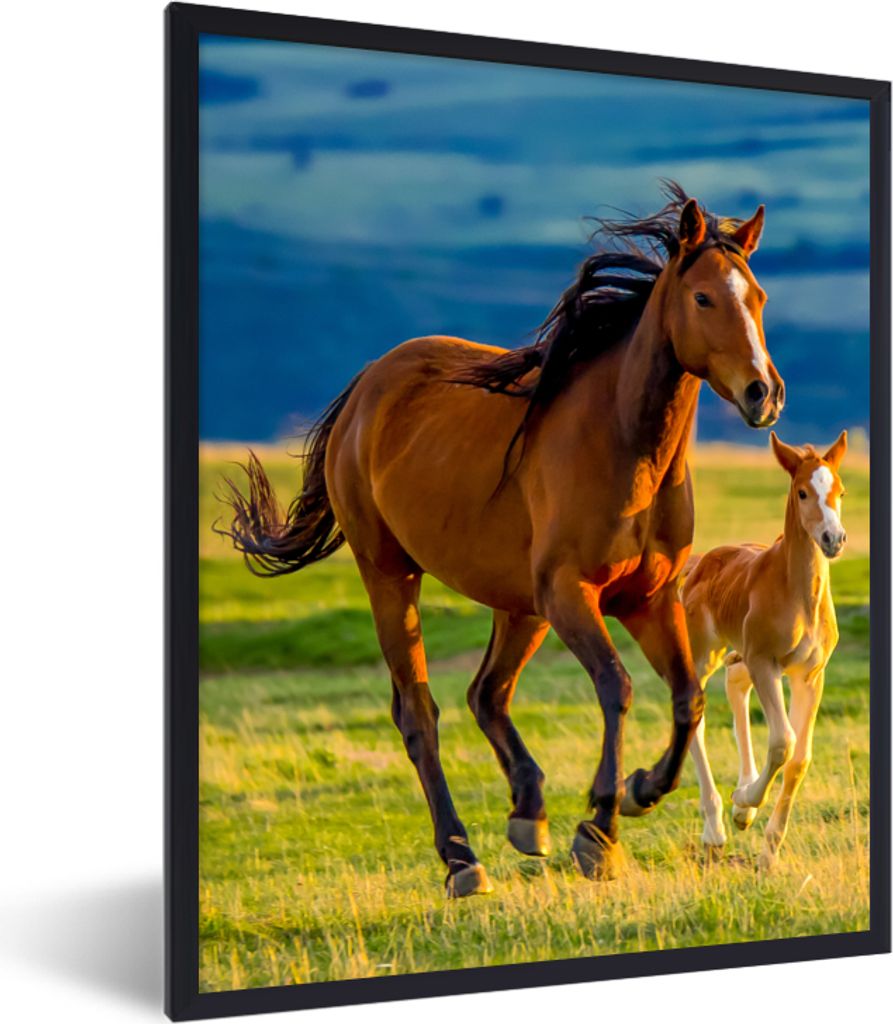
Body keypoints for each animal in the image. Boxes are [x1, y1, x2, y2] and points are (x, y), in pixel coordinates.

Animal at [219, 182, 785, 896]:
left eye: (758, 297)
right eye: (704, 298)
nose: (764, 394)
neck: (624, 445)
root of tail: (367, 387)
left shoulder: (648, 600)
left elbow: (688, 699)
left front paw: (639, 791)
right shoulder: (572, 594)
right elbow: (617, 688)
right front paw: (600, 828)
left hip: (519, 606)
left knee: (486, 694)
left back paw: (528, 811)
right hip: (393, 576)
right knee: (420, 712)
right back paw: (462, 858)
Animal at [682, 430, 847, 870]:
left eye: (840, 491)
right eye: (803, 492)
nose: (834, 540)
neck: (799, 595)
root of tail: (700, 562)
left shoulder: (810, 675)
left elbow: (800, 757)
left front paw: (768, 852)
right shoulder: (765, 662)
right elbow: (782, 741)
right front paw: (745, 801)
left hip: (739, 655)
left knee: (735, 685)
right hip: (705, 653)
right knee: (694, 712)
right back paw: (716, 827)